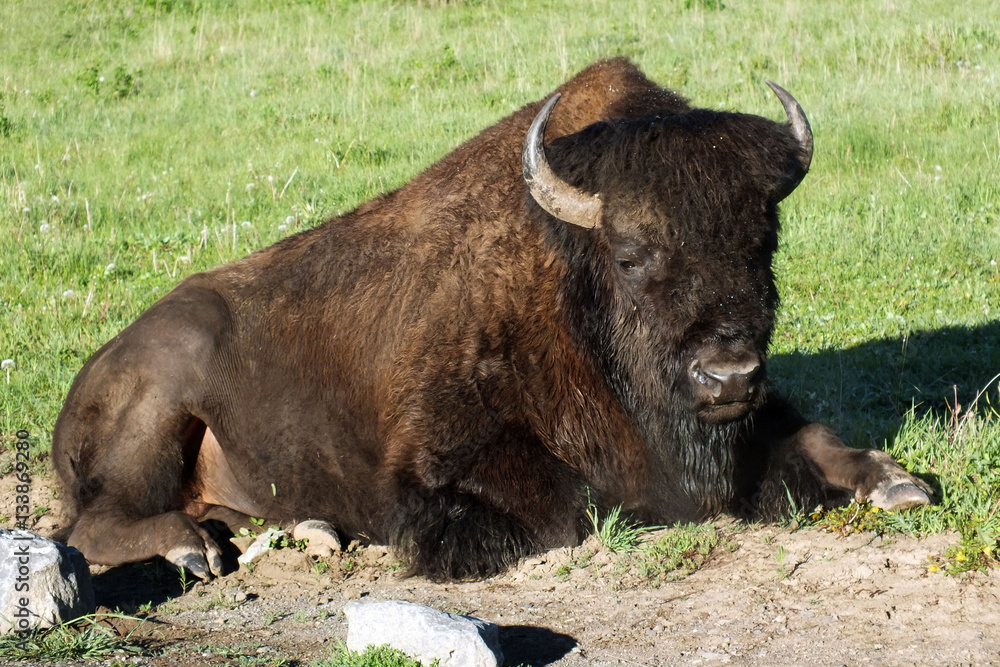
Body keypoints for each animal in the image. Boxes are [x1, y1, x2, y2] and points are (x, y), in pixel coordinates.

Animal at [52, 58, 928, 580]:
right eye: (631, 253)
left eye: (764, 240)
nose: (727, 374)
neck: (572, 286)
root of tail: (87, 376)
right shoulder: (438, 461)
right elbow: (566, 508)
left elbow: (816, 438)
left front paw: (899, 483)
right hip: (157, 407)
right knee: (90, 522)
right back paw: (194, 548)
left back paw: (310, 532)